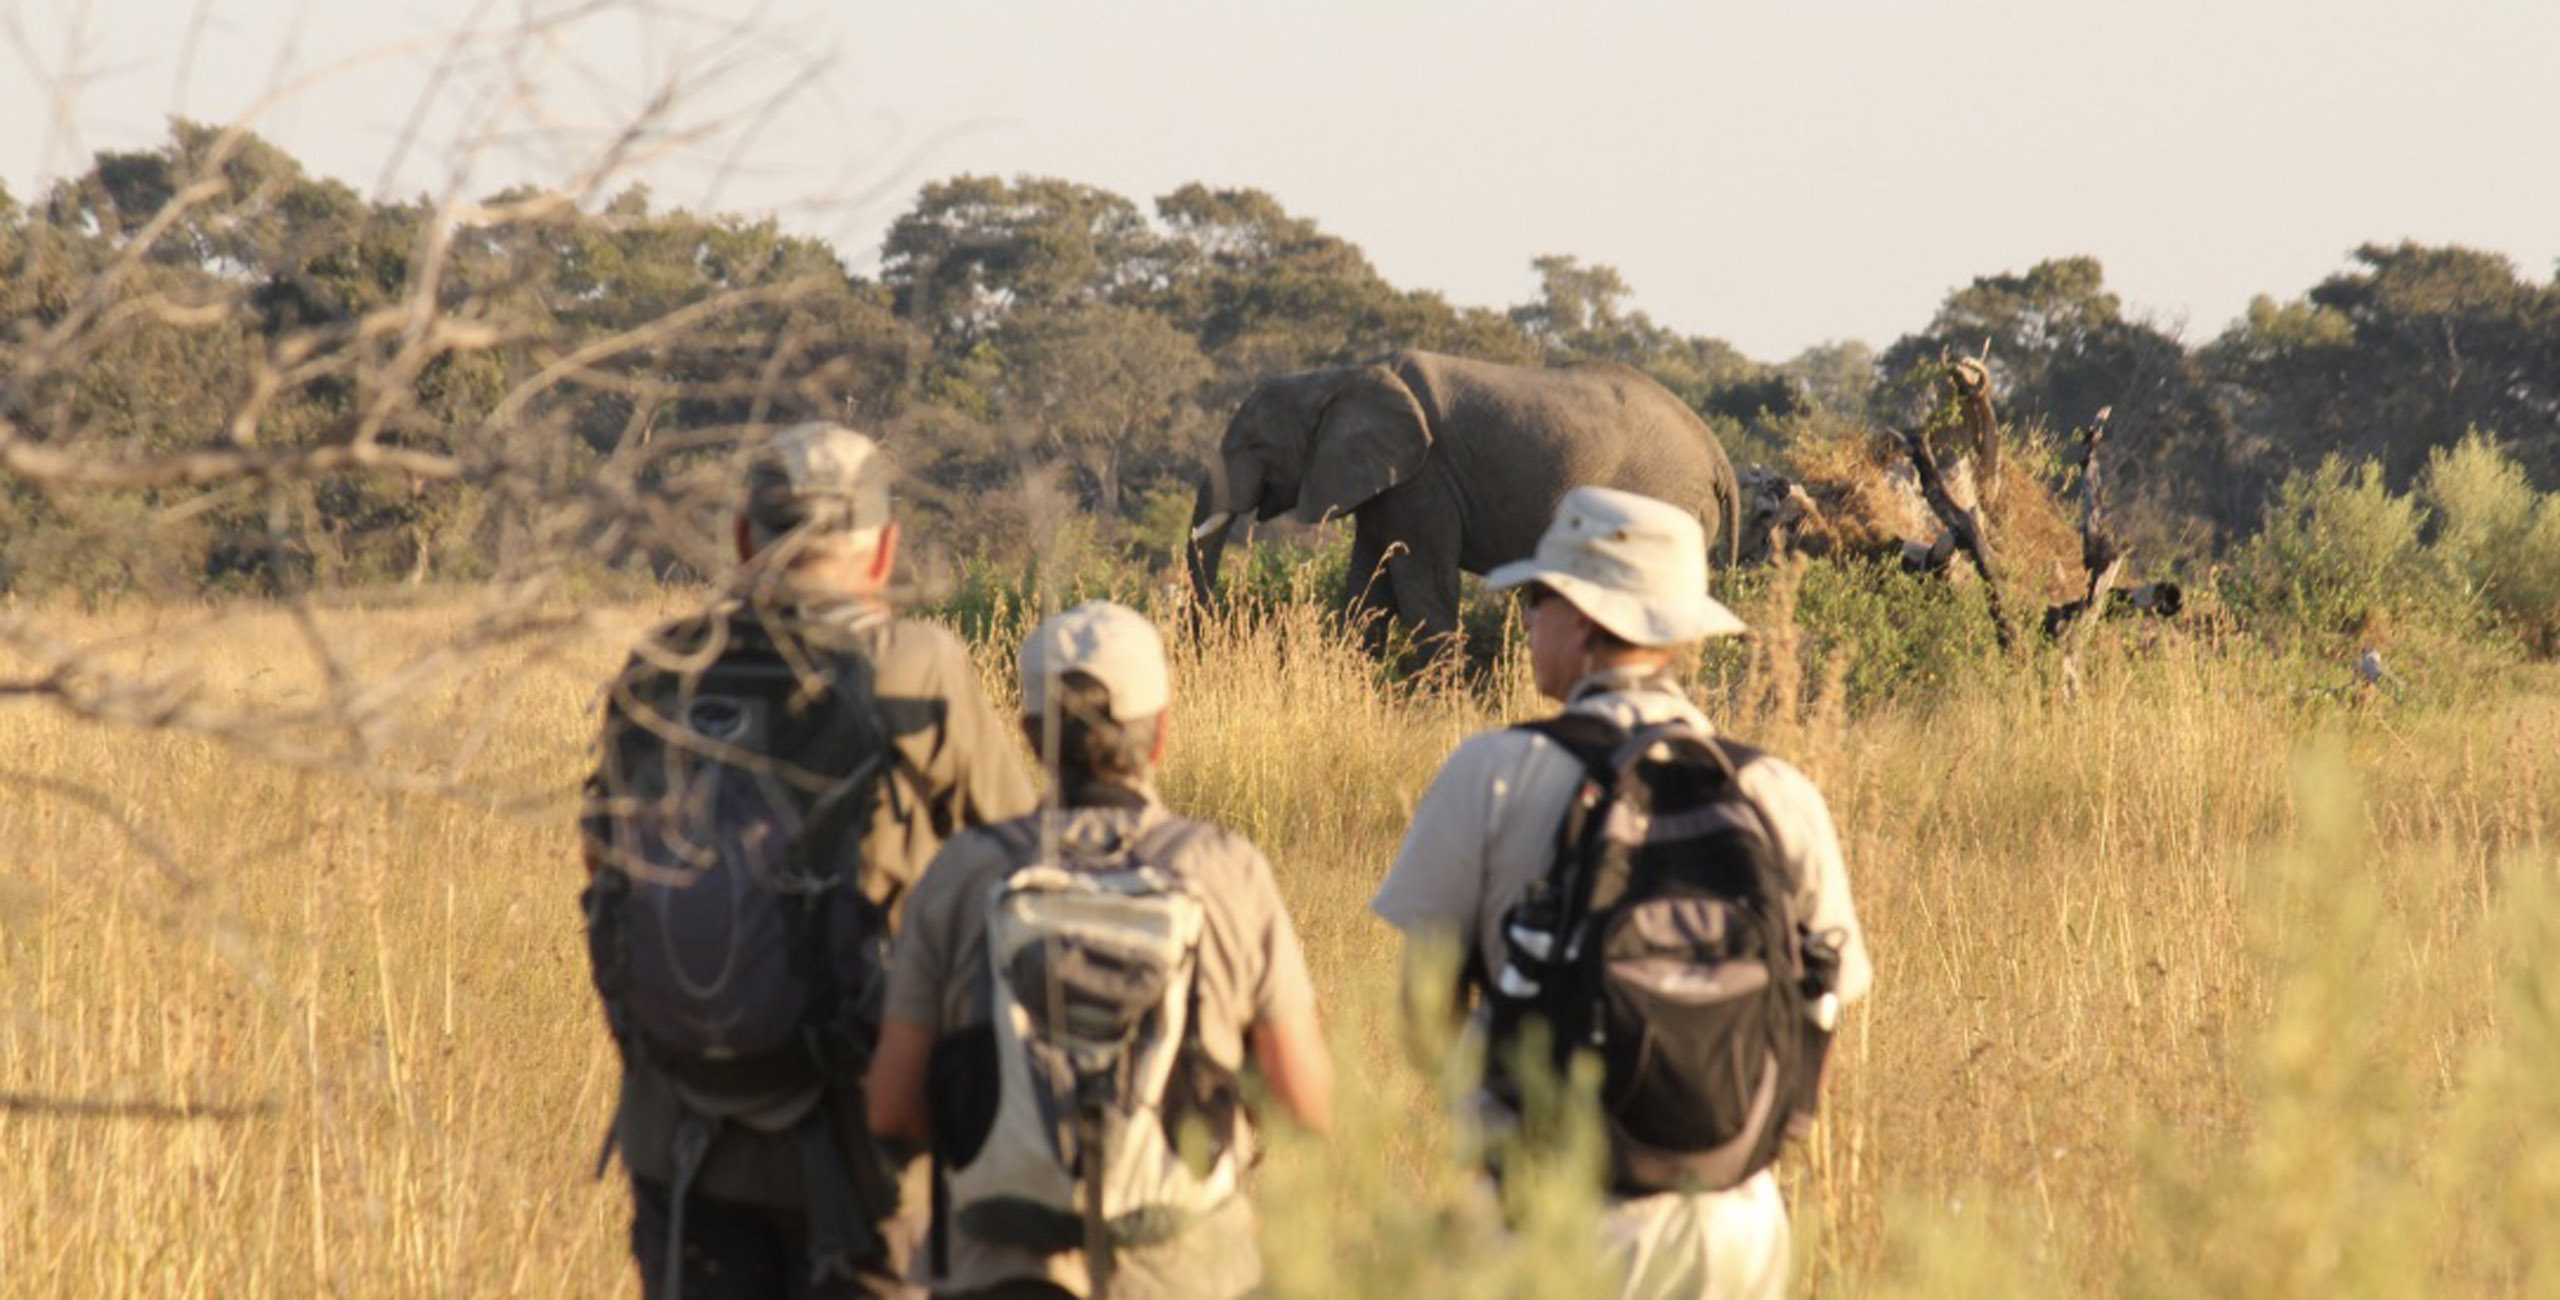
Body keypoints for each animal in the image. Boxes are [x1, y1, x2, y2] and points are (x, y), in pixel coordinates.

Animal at [1187, 349, 1740, 652]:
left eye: (1253, 446)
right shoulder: (1388, 481)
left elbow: (1421, 586)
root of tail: (1718, 457)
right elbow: (1368, 589)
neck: (1340, 376)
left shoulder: (1425, 478)